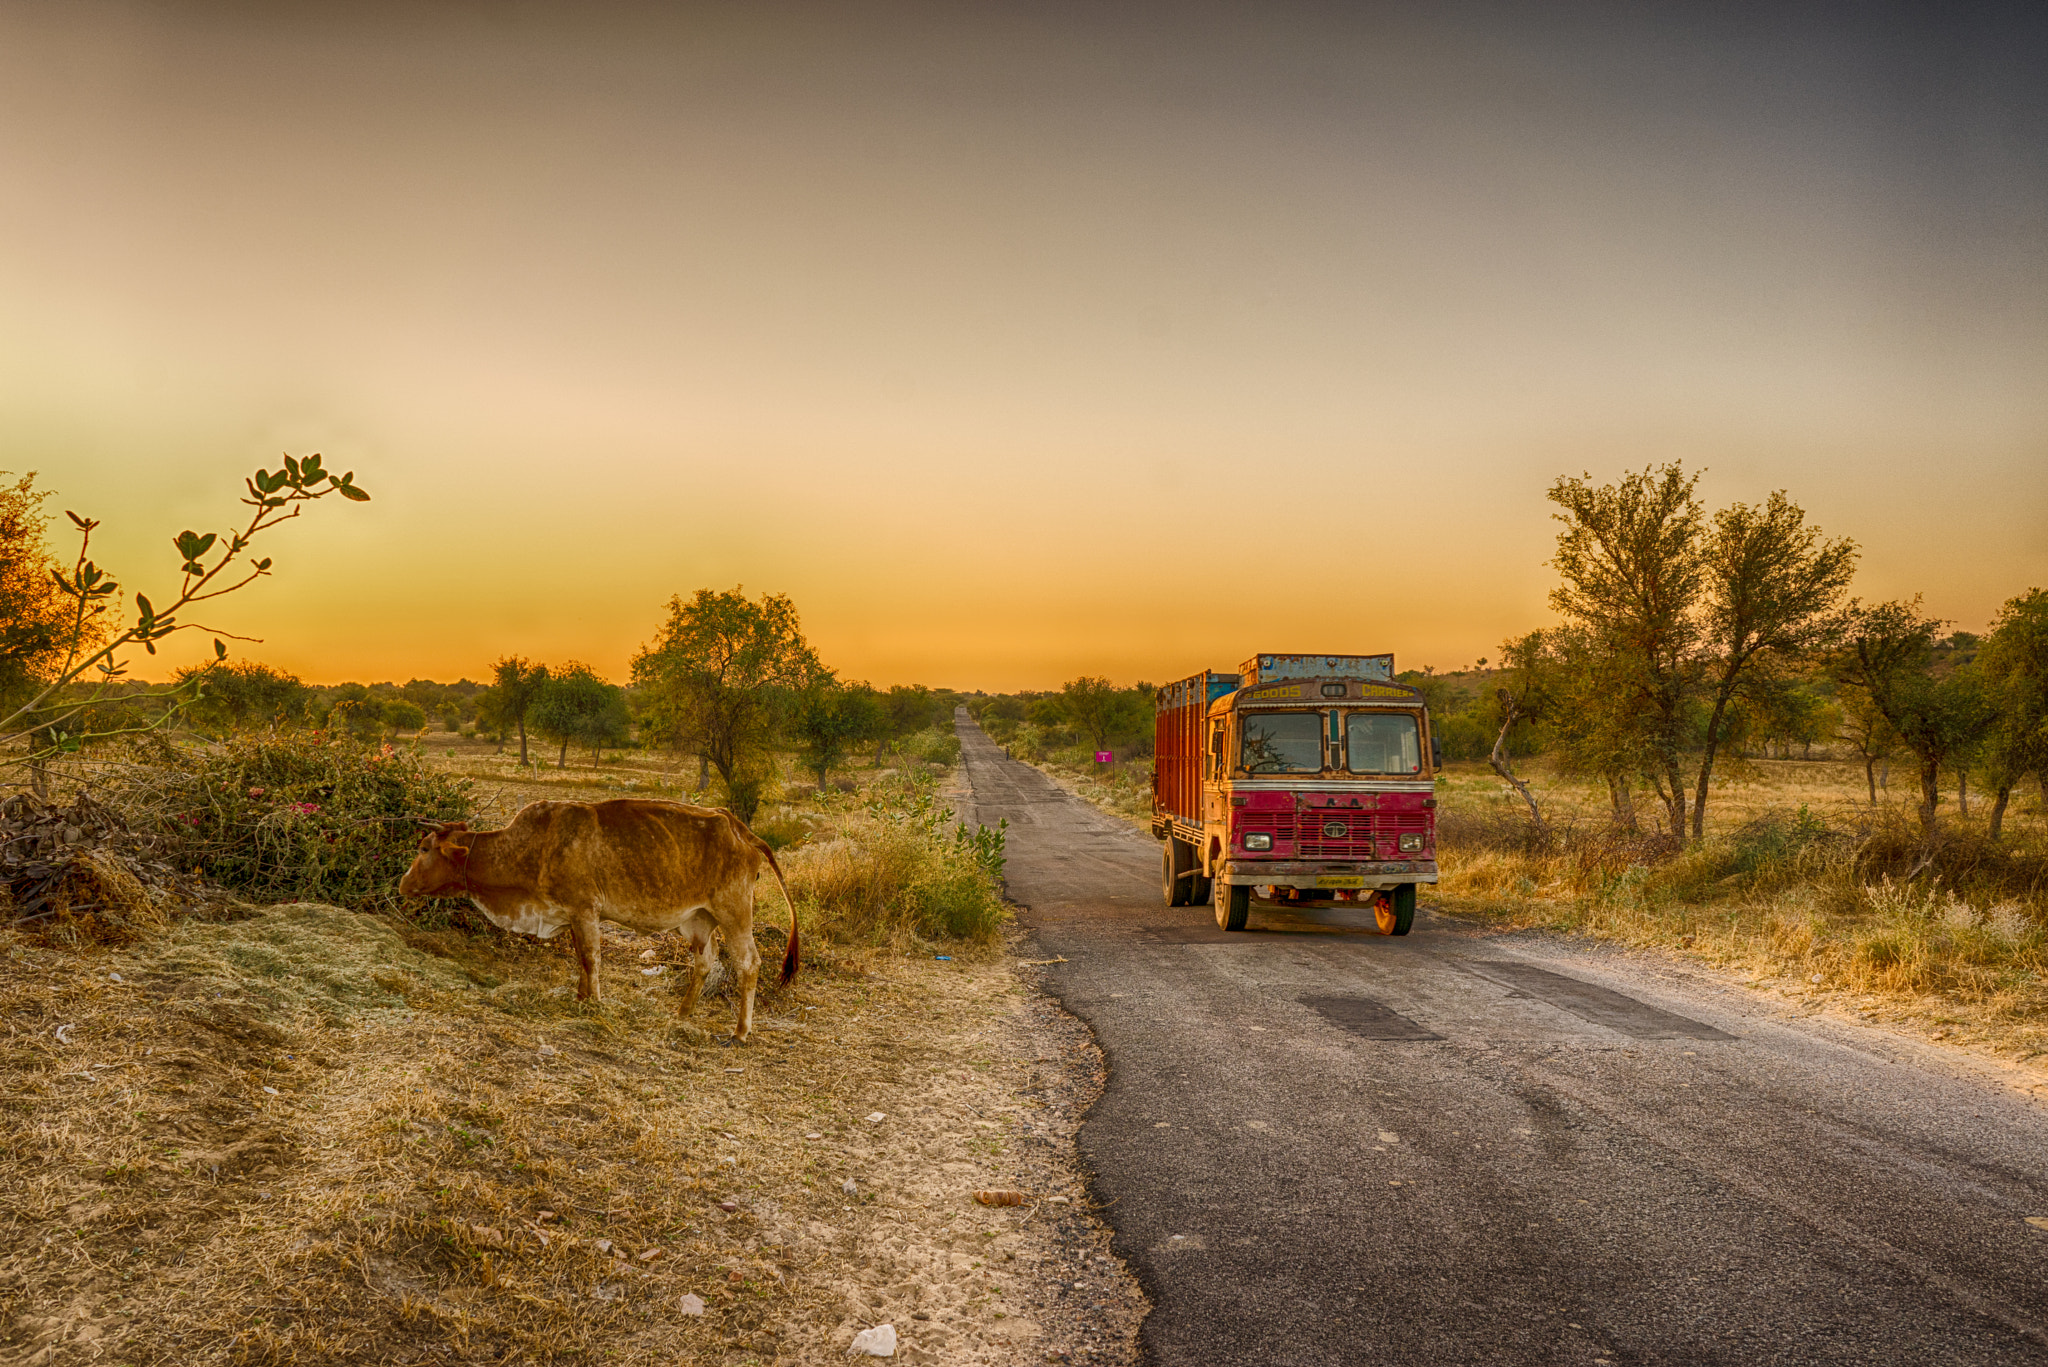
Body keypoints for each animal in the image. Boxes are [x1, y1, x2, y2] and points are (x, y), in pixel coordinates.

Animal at [395, 795, 794, 1041]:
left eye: (425, 848)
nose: (403, 883)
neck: (533, 846)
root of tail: (738, 827)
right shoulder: (571, 914)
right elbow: (581, 960)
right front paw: (581, 996)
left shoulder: (585, 909)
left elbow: (591, 958)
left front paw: (596, 1003)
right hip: (699, 919)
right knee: (705, 961)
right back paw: (682, 1014)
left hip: (734, 912)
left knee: (749, 963)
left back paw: (740, 1031)